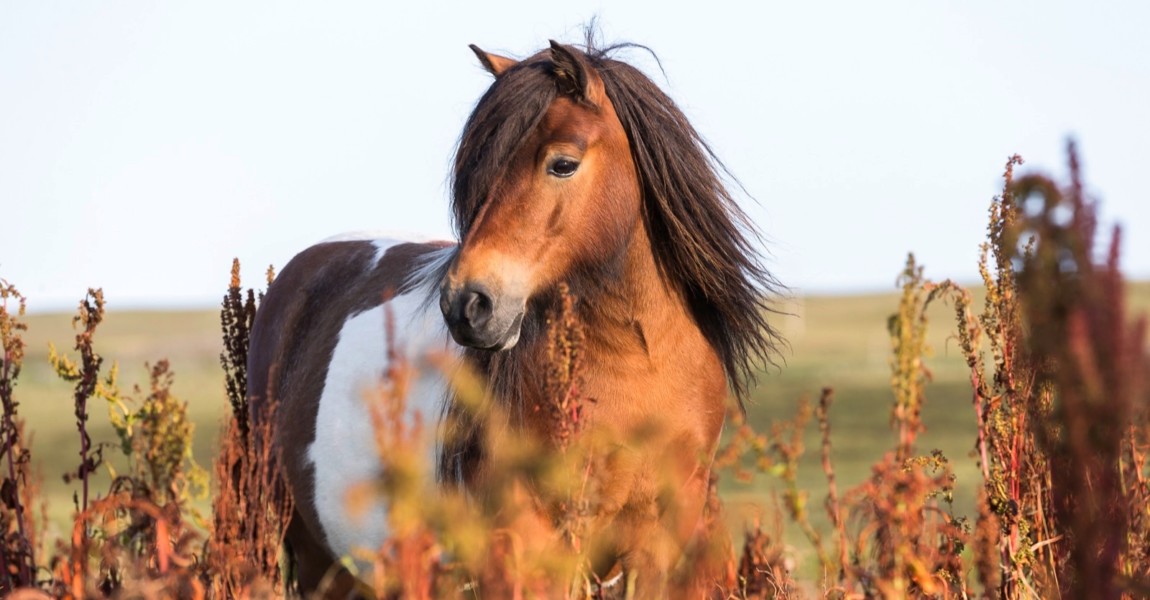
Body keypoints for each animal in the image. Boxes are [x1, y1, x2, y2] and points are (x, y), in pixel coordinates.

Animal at [248, 39, 786, 593]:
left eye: (563, 164)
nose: (466, 304)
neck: (637, 370)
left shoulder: (654, 548)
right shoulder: (523, 551)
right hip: (309, 550)